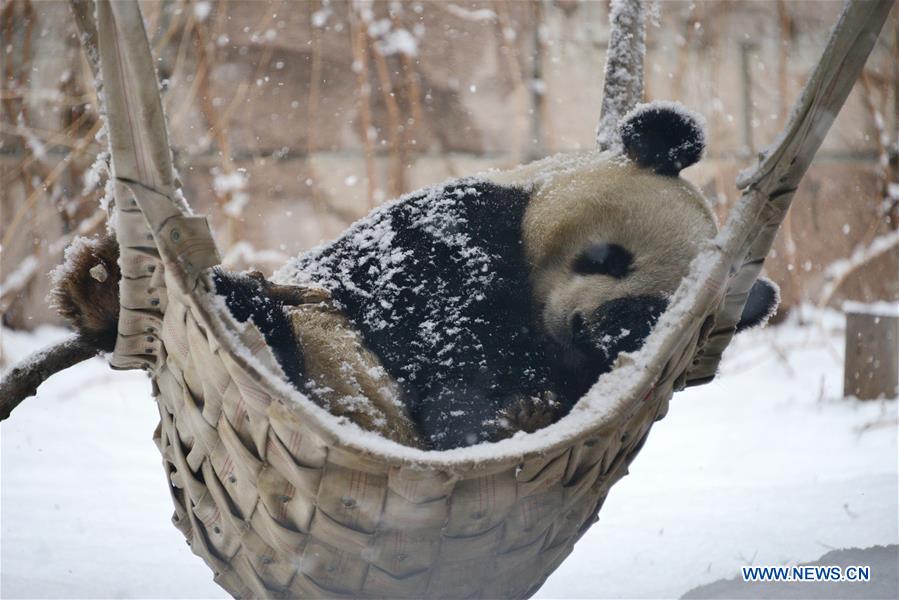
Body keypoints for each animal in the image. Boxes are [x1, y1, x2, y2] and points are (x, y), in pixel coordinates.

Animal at [52, 102, 776, 450]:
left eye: (654, 314)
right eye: (605, 257)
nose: (593, 324)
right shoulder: (454, 229)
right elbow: (430, 320)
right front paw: (474, 421)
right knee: (262, 316)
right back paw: (103, 288)